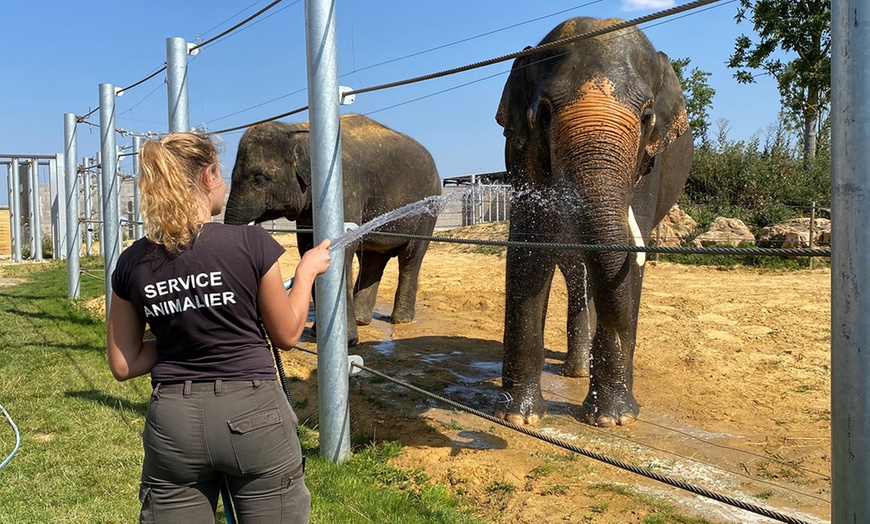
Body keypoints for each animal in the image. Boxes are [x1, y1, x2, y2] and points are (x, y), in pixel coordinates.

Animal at [225, 112, 442, 346]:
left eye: (259, 179)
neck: (298, 130)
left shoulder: (344, 186)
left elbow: (343, 245)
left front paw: (346, 341)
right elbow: (307, 246)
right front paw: (317, 334)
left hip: (428, 209)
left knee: (411, 256)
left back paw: (401, 320)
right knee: (373, 259)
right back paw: (361, 319)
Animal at [498, 18, 696, 426]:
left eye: (647, 116)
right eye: (543, 113)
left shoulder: (649, 161)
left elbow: (627, 259)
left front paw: (613, 419)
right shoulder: (520, 149)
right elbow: (529, 247)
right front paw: (518, 418)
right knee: (577, 270)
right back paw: (575, 370)